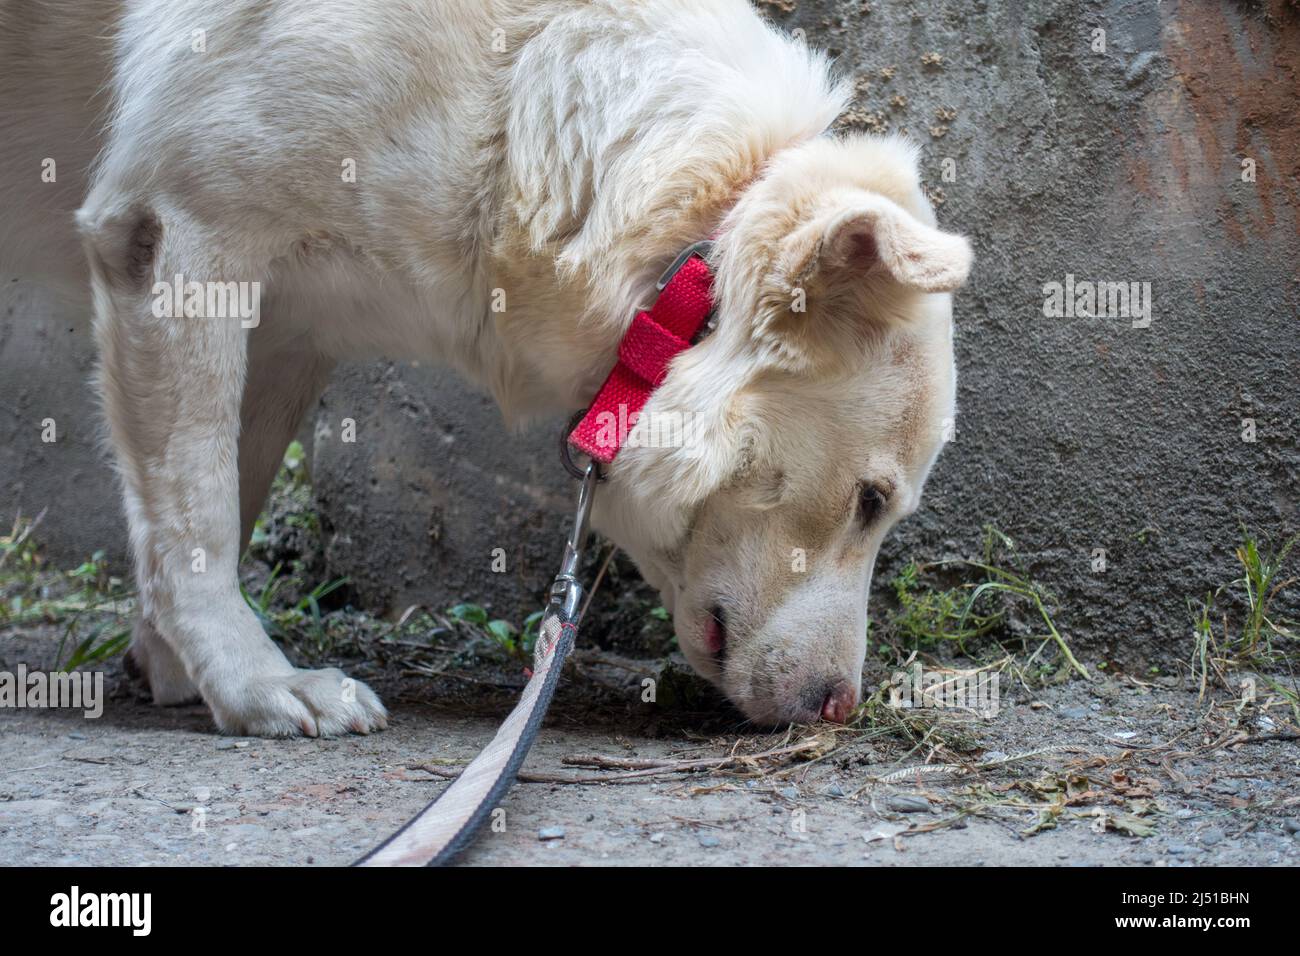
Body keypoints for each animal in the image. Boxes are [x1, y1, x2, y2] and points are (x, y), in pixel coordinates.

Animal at [0, 0, 972, 738]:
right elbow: (196, 515)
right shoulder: (179, 236)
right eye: (871, 501)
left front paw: (174, 664)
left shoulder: (284, 332)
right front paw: (253, 685)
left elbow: (224, 500)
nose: (839, 708)